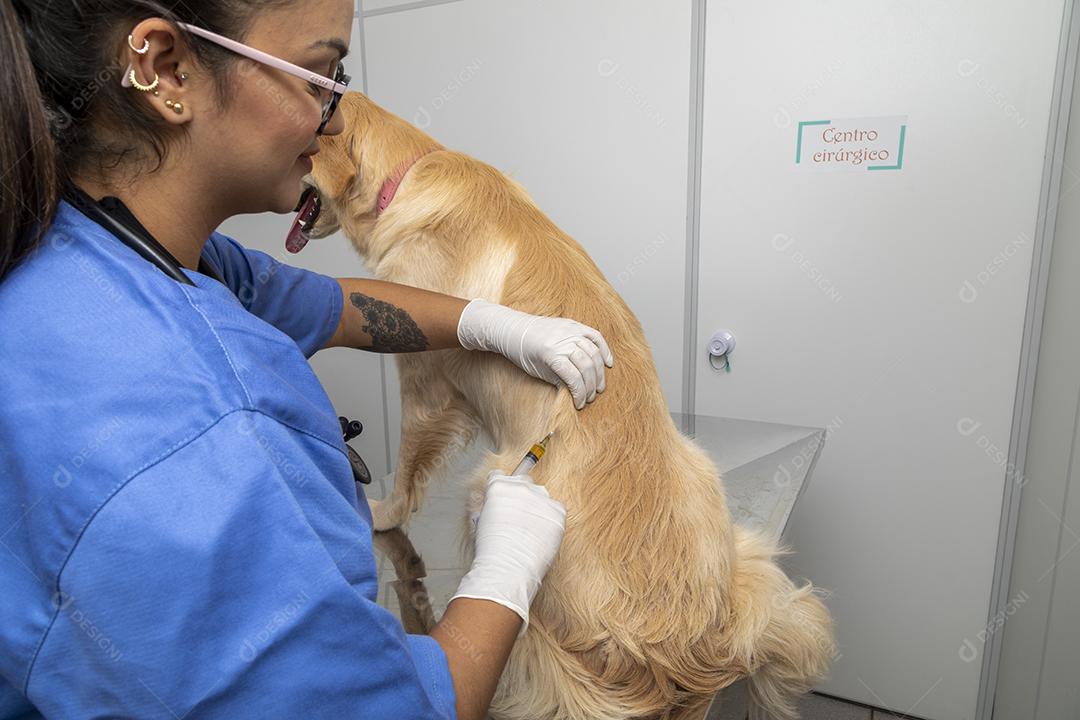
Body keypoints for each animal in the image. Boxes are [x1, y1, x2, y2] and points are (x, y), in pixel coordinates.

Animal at [300, 91, 838, 720]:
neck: (407, 171)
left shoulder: (424, 383)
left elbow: (410, 464)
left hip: (489, 485)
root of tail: (687, 654)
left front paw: (384, 512)